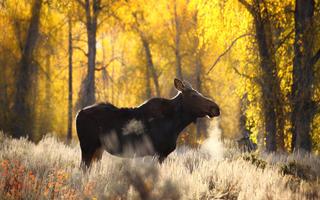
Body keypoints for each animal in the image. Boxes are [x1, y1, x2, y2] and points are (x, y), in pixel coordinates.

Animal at [75, 78, 220, 169]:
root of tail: (78, 114)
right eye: (194, 95)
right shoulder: (158, 153)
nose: (215, 108)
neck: (176, 124)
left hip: (98, 149)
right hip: (87, 146)